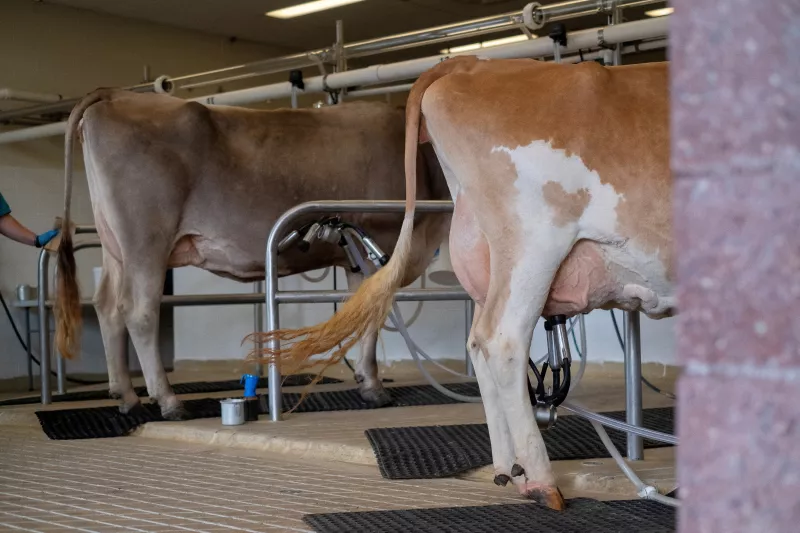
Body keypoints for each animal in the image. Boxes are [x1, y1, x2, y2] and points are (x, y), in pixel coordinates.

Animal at [54, 89, 451, 420]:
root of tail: (116, 95)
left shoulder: (355, 252)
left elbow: (360, 313)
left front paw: (364, 379)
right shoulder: (379, 244)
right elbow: (373, 315)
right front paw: (373, 386)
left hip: (114, 246)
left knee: (106, 305)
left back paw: (125, 396)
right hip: (146, 239)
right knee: (139, 310)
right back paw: (168, 401)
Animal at [255, 55, 673, 509]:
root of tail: (474, 62)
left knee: (478, 343)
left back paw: (510, 469)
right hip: (533, 243)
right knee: (502, 338)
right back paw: (542, 482)